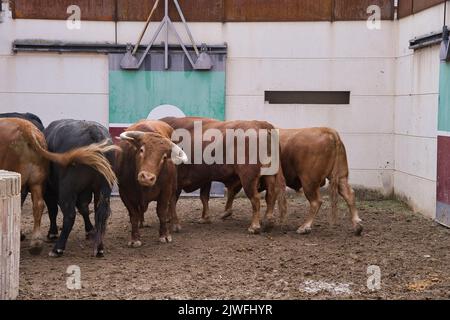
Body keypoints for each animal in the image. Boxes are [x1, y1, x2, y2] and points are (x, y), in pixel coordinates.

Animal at [0, 117, 118, 255]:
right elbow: (84, 208)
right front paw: (90, 231)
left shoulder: (49, 191)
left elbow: (53, 210)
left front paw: (52, 233)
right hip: (103, 188)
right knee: (101, 213)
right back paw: (99, 247)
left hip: (66, 189)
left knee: (69, 214)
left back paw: (58, 248)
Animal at [221, 127, 362, 235]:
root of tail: (328, 131)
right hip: (341, 177)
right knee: (349, 194)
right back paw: (357, 225)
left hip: (308, 181)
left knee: (316, 201)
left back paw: (304, 227)